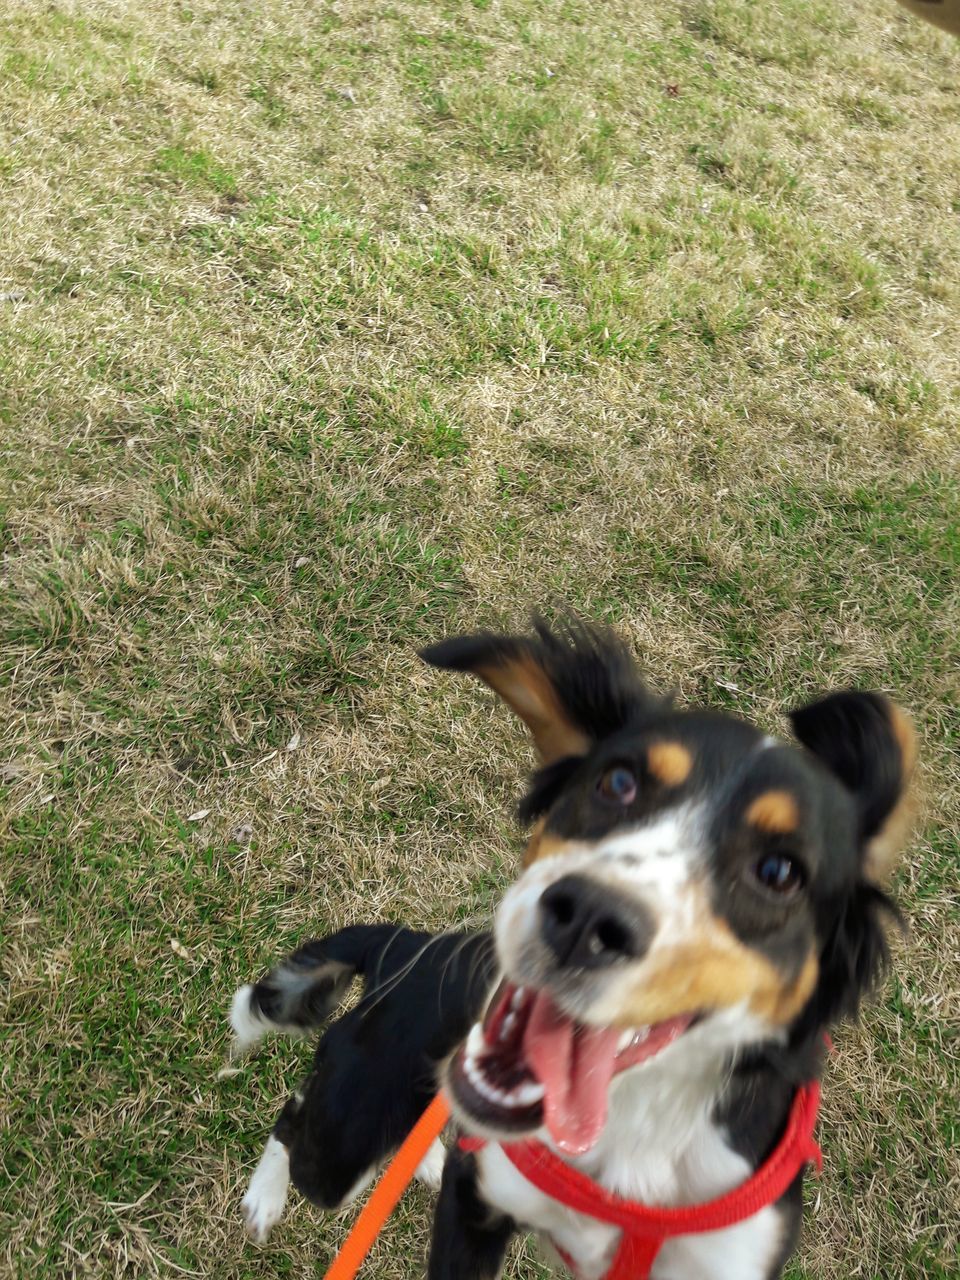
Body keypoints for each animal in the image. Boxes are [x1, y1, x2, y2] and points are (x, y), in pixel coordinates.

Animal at [227, 619, 916, 1280]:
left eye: (779, 872)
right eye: (618, 782)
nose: (585, 917)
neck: (638, 1129)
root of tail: (406, 943)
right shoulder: (477, 1196)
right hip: (352, 1122)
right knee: (292, 1121)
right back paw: (264, 1200)